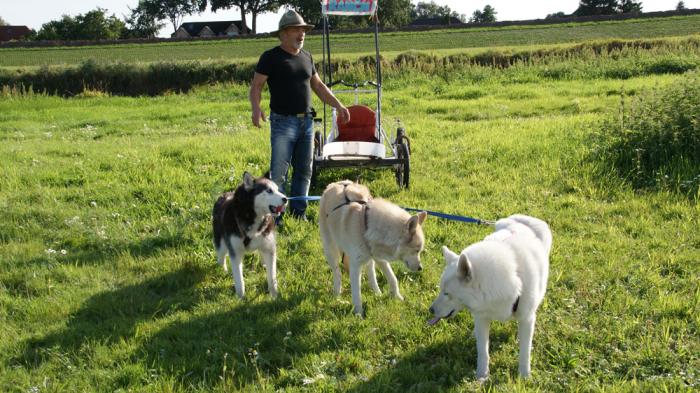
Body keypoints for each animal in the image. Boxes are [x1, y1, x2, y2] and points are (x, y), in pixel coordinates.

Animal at [318, 181, 426, 316]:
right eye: (416, 250)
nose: (420, 268)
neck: (367, 226)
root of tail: (333, 184)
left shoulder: (380, 258)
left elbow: (393, 279)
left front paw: (398, 298)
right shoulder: (356, 266)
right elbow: (356, 293)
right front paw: (358, 314)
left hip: (370, 258)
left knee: (370, 272)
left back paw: (377, 293)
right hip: (331, 251)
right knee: (337, 272)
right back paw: (337, 295)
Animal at [426, 214, 552, 380]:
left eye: (446, 293)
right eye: (441, 290)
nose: (431, 310)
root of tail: (518, 220)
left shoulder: (527, 318)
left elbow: (525, 351)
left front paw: (524, 375)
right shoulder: (481, 316)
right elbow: (482, 350)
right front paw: (482, 376)